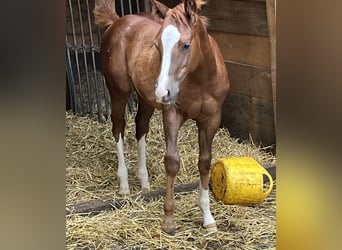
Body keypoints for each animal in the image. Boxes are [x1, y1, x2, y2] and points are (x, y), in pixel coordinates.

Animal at [93, 0, 230, 234]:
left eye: (186, 45)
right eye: (157, 45)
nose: (162, 92)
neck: (201, 80)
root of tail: (117, 22)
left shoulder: (211, 119)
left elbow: (204, 162)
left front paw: (208, 218)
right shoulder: (172, 114)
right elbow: (172, 162)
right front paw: (168, 220)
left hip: (145, 99)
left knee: (141, 127)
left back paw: (144, 180)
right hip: (119, 91)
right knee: (118, 127)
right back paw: (124, 184)